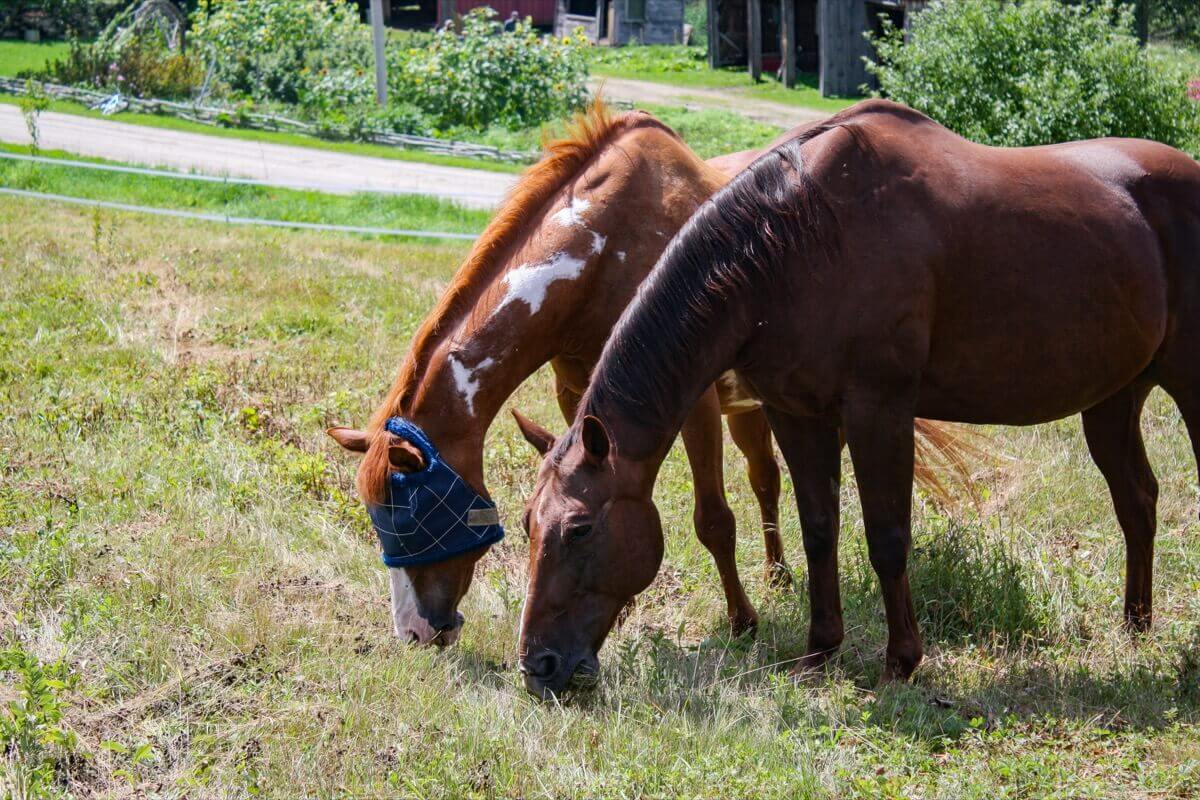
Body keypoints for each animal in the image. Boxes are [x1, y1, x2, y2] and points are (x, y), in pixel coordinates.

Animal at [326, 101, 974, 652]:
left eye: (415, 516)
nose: (415, 632)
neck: (604, 248)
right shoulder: (582, 401)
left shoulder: (696, 404)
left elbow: (714, 520)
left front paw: (741, 621)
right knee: (766, 477)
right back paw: (778, 574)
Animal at [516, 100, 1200, 695]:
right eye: (527, 523)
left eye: (579, 529)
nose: (539, 665)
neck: (797, 240)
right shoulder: (795, 413)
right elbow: (819, 529)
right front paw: (820, 650)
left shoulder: (880, 412)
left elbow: (886, 536)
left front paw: (902, 661)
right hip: (1113, 398)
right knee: (1136, 499)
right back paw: (1135, 625)